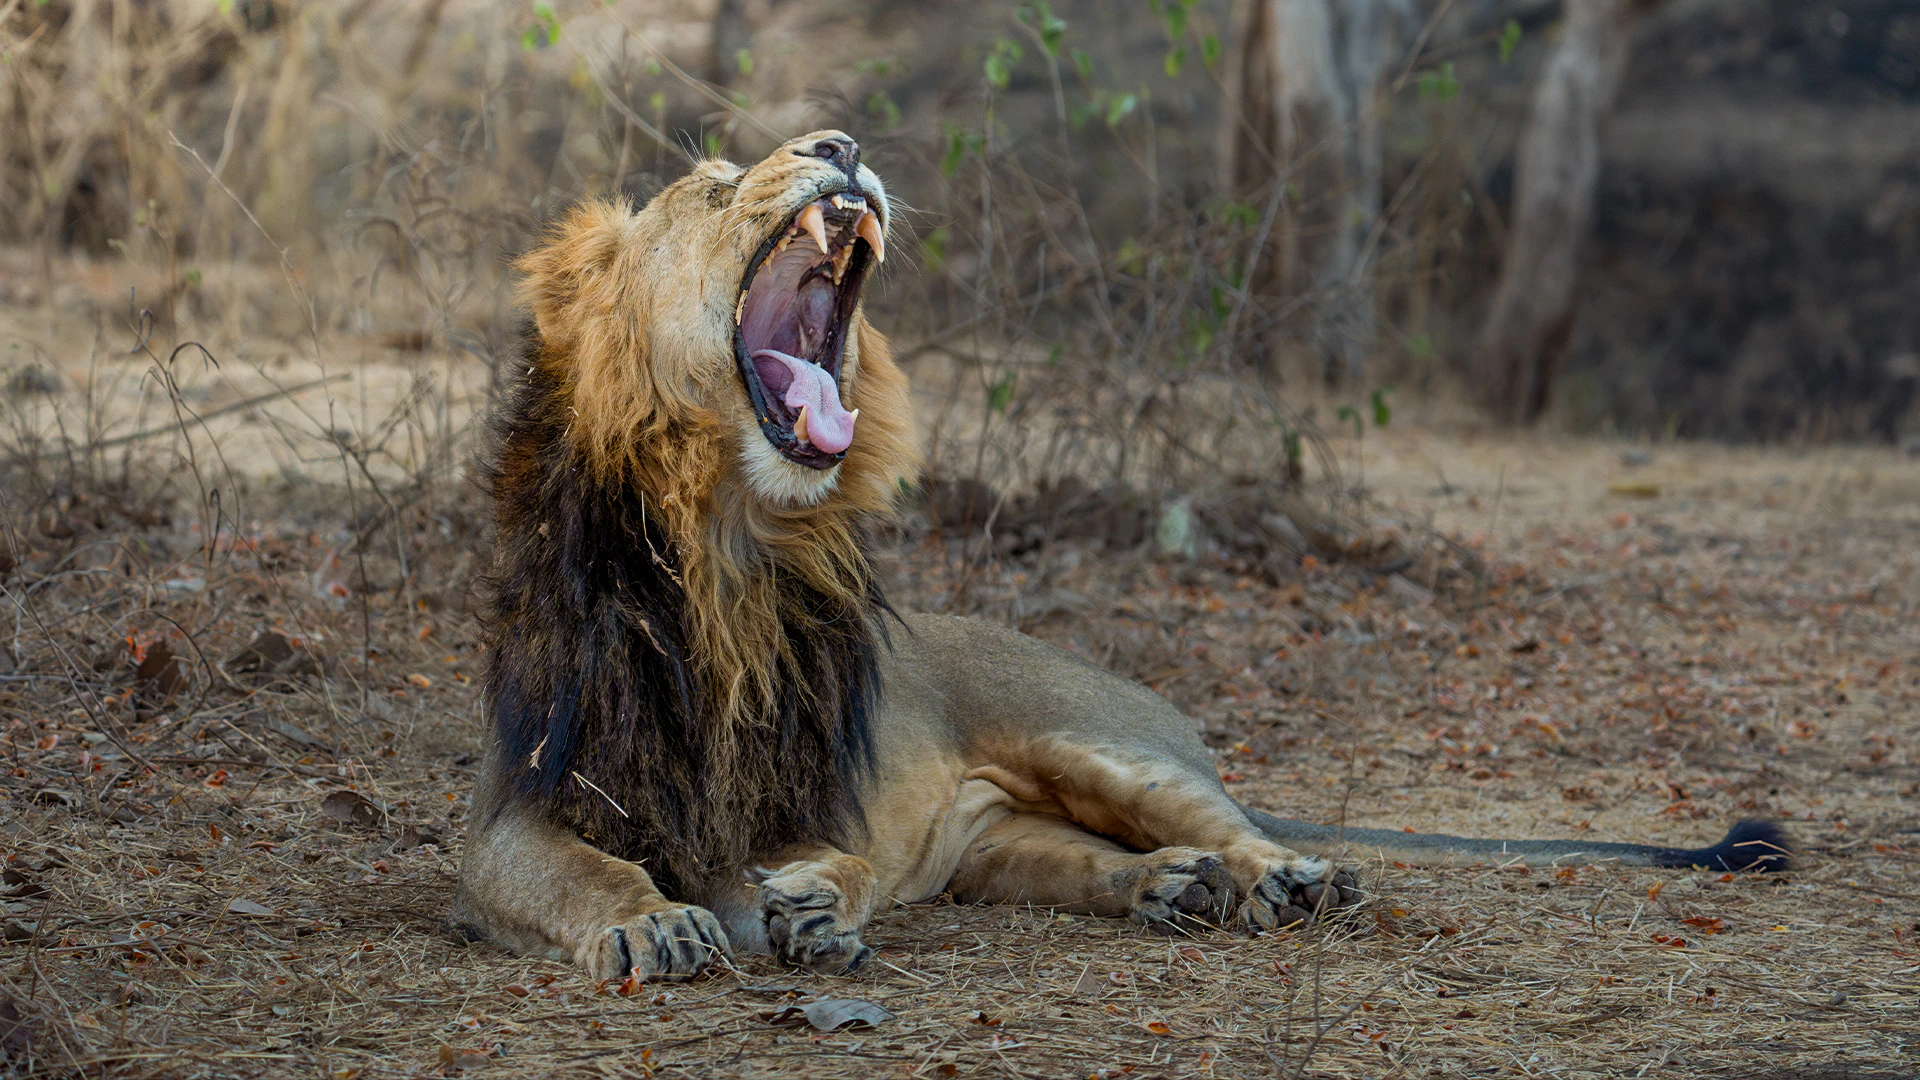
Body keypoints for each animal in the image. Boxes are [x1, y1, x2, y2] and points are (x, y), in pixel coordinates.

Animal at [451, 131, 1789, 982]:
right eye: (709, 187)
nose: (838, 141)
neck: (727, 541)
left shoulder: (820, 795)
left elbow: (825, 861)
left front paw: (809, 912)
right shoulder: (520, 805)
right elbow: (582, 877)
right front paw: (655, 926)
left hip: (1100, 748)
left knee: (1234, 822)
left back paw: (1283, 881)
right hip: (997, 847)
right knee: (1090, 858)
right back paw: (1175, 890)